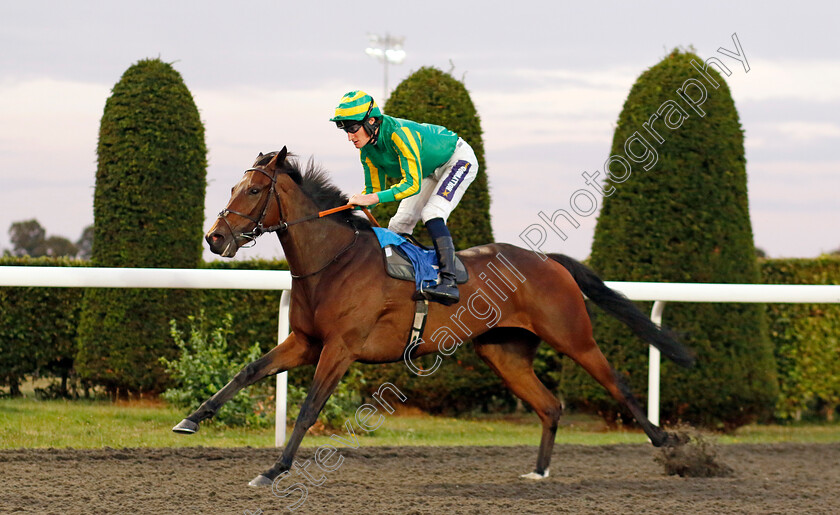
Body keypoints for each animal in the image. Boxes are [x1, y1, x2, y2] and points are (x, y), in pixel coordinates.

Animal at [174, 148, 692, 488]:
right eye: (233, 186)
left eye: (254, 189)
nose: (215, 237)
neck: (333, 261)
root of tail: (549, 260)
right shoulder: (305, 341)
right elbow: (247, 372)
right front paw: (191, 420)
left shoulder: (340, 348)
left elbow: (308, 409)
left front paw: (274, 470)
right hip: (504, 352)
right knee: (550, 405)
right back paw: (539, 471)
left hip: (573, 336)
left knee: (617, 385)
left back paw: (670, 446)